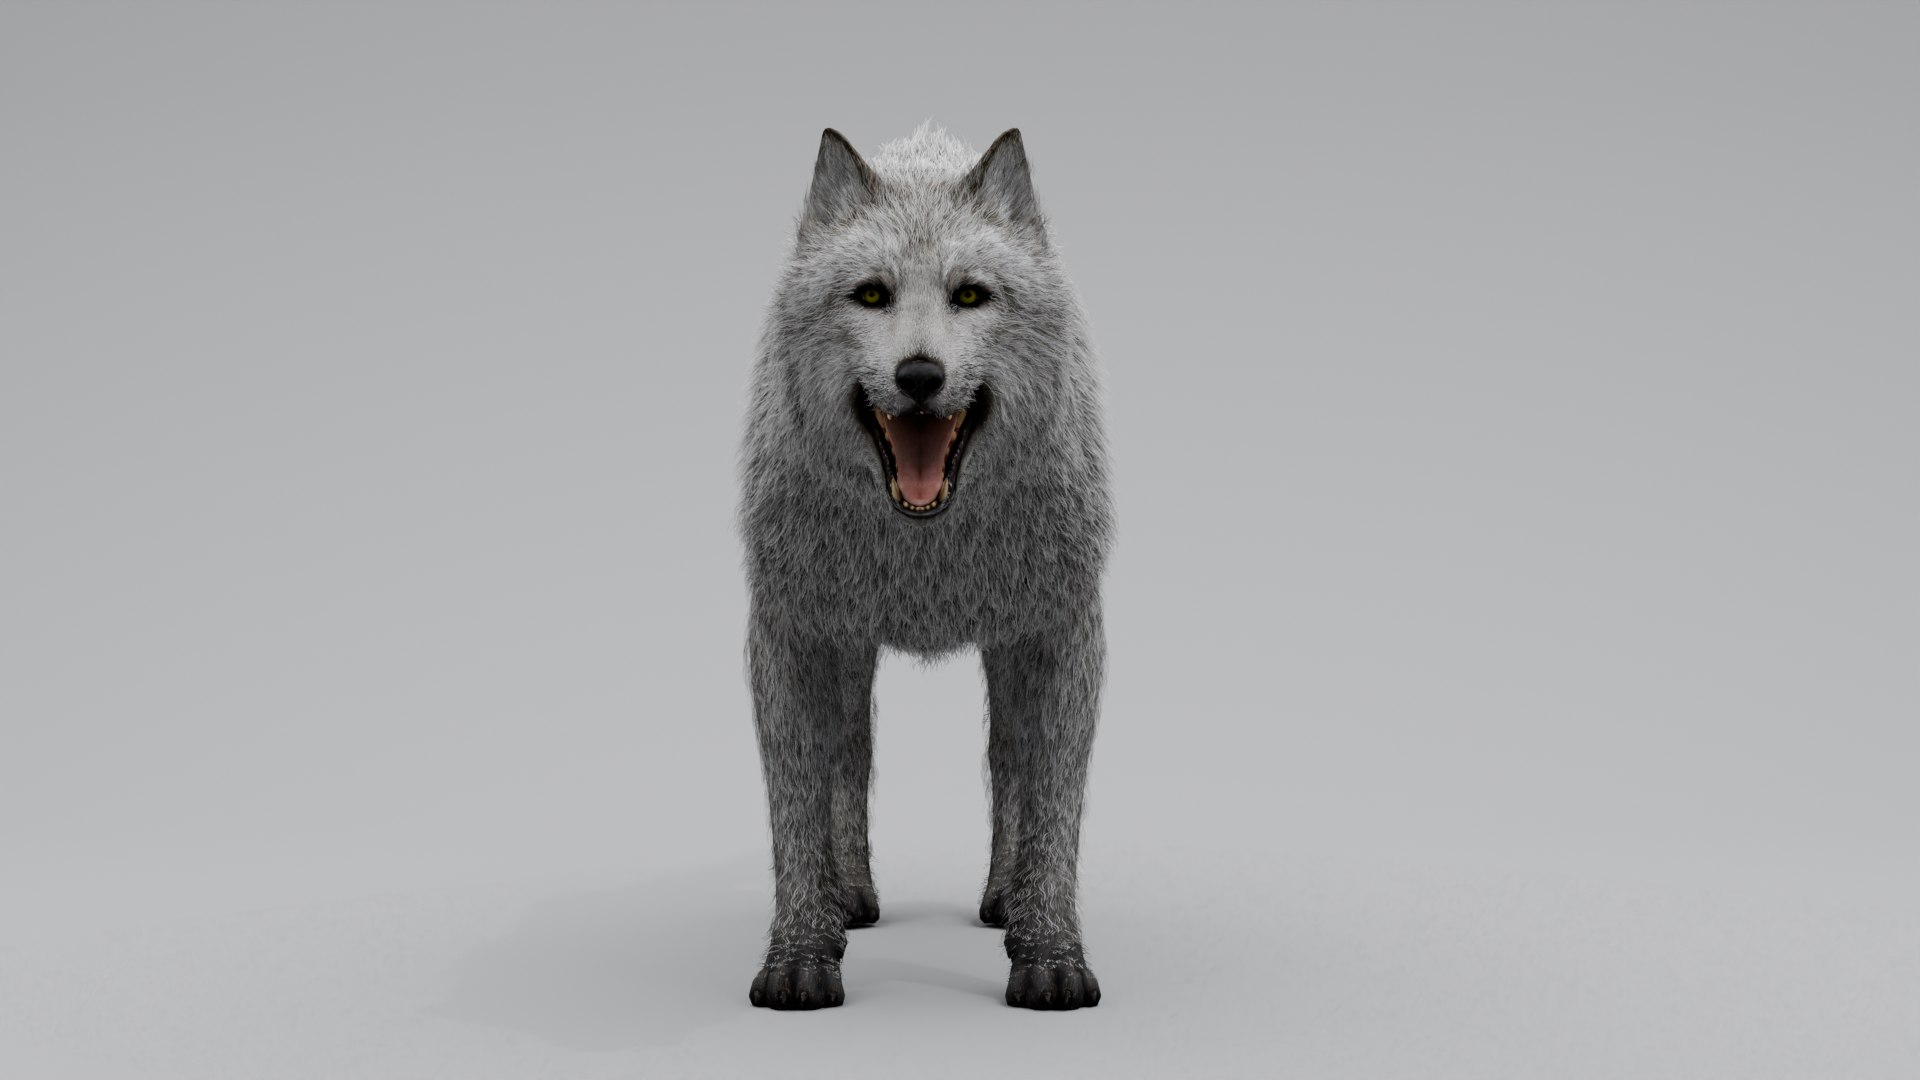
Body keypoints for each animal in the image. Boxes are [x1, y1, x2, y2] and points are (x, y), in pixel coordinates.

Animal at [737, 123, 1113, 1011]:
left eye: (970, 296)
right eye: (872, 296)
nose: (918, 376)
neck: (925, 553)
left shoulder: (1061, 637)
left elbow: (1052, 807)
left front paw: (1051, 957)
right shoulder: (790, 638)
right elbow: (797, 809)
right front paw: (800, 958)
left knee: (1006, 761)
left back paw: (1004, 900)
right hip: (847, 651)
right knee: (852, 753)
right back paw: (847, 898)